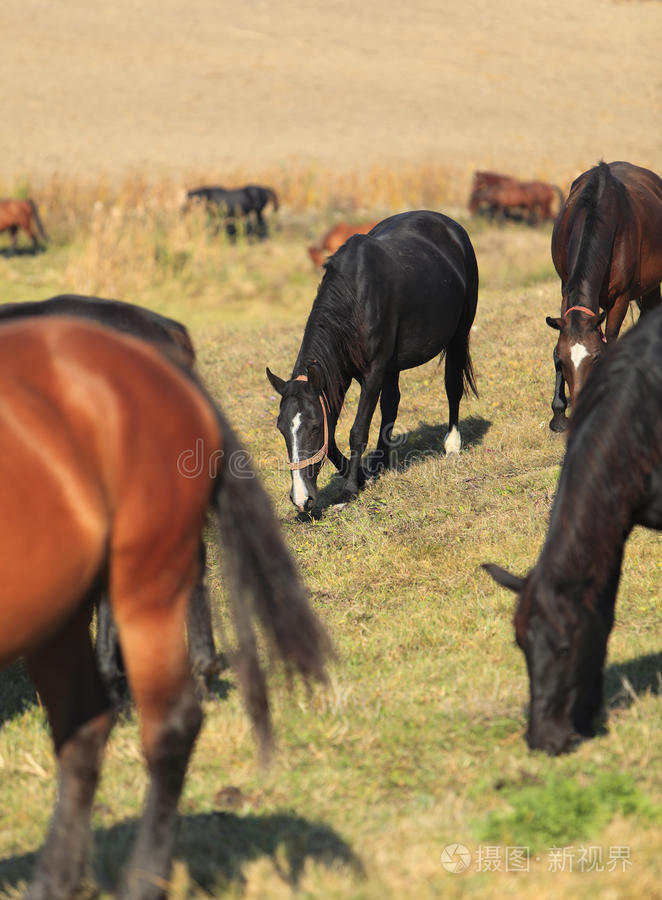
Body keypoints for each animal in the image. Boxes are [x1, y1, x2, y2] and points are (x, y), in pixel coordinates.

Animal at [268, 207, 480, 510]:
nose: (301, 499)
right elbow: (334, 438)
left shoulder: (373, 374)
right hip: (393, 367)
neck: (355, 298)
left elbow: (357, 431)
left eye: (314, 427)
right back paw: (381, 464)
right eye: (281, 428)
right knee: (391, 405)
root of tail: (450, 225)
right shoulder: (343, 377)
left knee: (453, 386)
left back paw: (452, 444)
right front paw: (361, 475)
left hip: (459, 335)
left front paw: (348, 490)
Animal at [544, 161, 662, 432]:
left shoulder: (620, 299)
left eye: (596, 358)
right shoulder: (566, 288)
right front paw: (558, 414)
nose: (578, 407)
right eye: (563, 359)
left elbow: (611, 341)